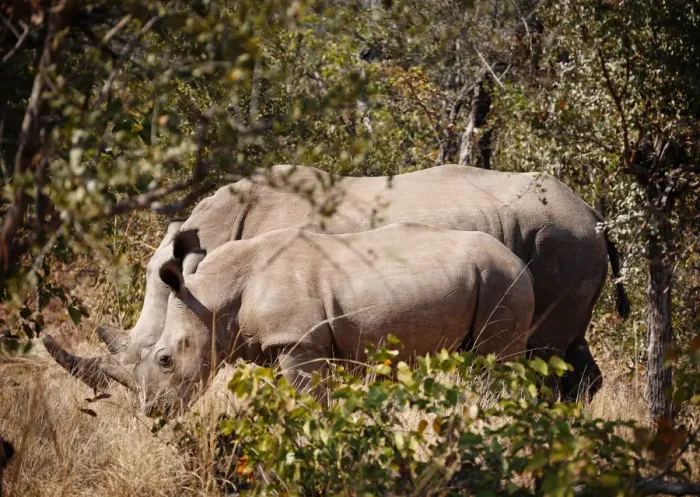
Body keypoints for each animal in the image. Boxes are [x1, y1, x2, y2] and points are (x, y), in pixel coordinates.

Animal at [56, 223, 535, 414]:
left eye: (164, 360)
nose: (153, 413)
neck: (212, 299)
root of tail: (520, 261)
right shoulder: (276, 343)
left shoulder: (299, 341)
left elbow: (307, 400)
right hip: (492, 275)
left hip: (502, 279)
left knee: (496, 362)